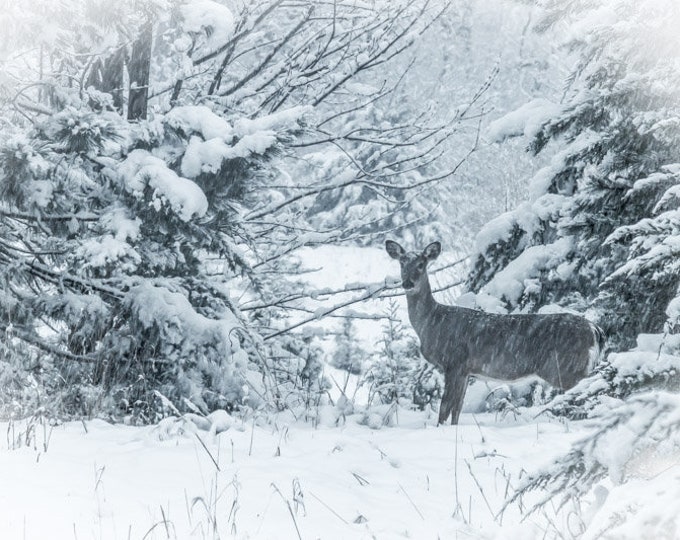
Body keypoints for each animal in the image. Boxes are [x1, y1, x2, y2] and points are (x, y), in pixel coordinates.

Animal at [386, 242, 604, 426]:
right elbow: (457, 408)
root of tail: (595, 329)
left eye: (421, 264)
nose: (407, 283)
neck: (433, 322)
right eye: (402, 262)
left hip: (569, 368)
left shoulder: (455, 361)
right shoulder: (467, 370)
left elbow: (445, 407)